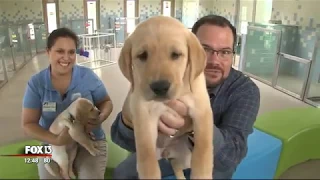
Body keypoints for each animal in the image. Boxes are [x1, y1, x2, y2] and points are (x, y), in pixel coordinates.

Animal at [119, 15, 214, 179]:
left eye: (176, 55)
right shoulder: (144, 115)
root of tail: (166, 153)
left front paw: (202, 174)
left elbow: (203, 151)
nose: (160, 87)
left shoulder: (202, 111)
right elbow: (147, 159)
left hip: (185, 157)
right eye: (142, 55)